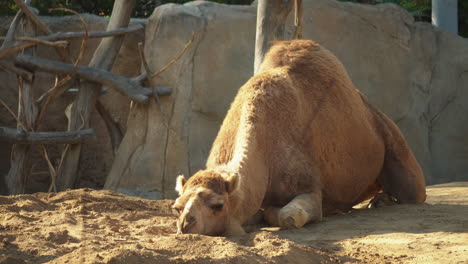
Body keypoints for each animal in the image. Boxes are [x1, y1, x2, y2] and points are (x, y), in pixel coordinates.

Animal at [173, 39, 428, 237]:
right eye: (177, 207)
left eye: (218, 205)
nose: (185, 224)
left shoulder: (310, 187)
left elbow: (288, 215)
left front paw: (272, 213)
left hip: (396, 146)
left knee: (413, 191)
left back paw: (381, 201)